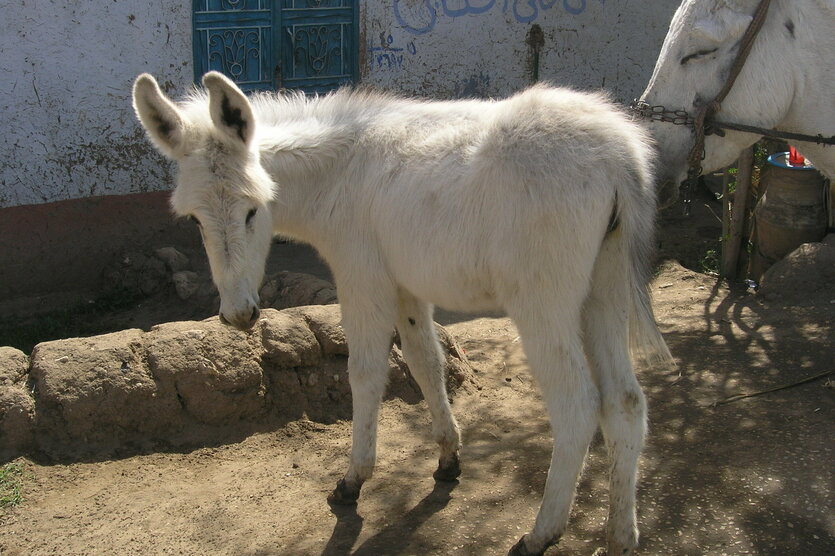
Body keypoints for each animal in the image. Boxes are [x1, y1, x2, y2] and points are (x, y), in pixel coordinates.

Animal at [136, 71, 672, 552]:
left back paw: (541, 534)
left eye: (253, 210)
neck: (339, 174)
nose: (239, 316)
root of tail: (618, 156)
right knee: (626, 402)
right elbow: (426, 363)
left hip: (543, 304)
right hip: (605, 293)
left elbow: (365, 374)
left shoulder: (362, 279)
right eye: (194, 220)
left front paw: (354, 480)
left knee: (577, 405)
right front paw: (449, 458)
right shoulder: (407, 288)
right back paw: (621, 536)